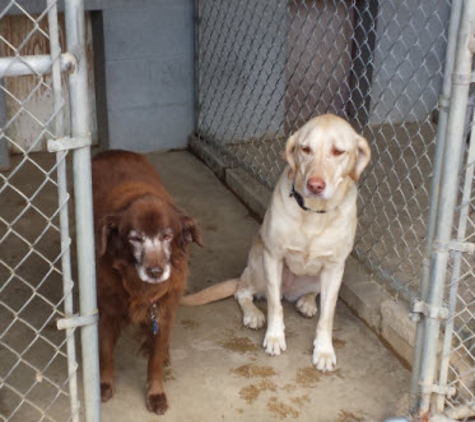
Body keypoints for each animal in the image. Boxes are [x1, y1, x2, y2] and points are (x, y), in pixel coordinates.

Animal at [92, 150, 202, 414]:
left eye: (167, 236)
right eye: (135, 238)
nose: (155, 271)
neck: (139, 287)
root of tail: (112, 151)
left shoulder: (163, 311)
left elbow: (155, 359)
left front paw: (155, 392)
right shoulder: (107, 310)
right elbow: (105, 351)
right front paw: (104, 384)